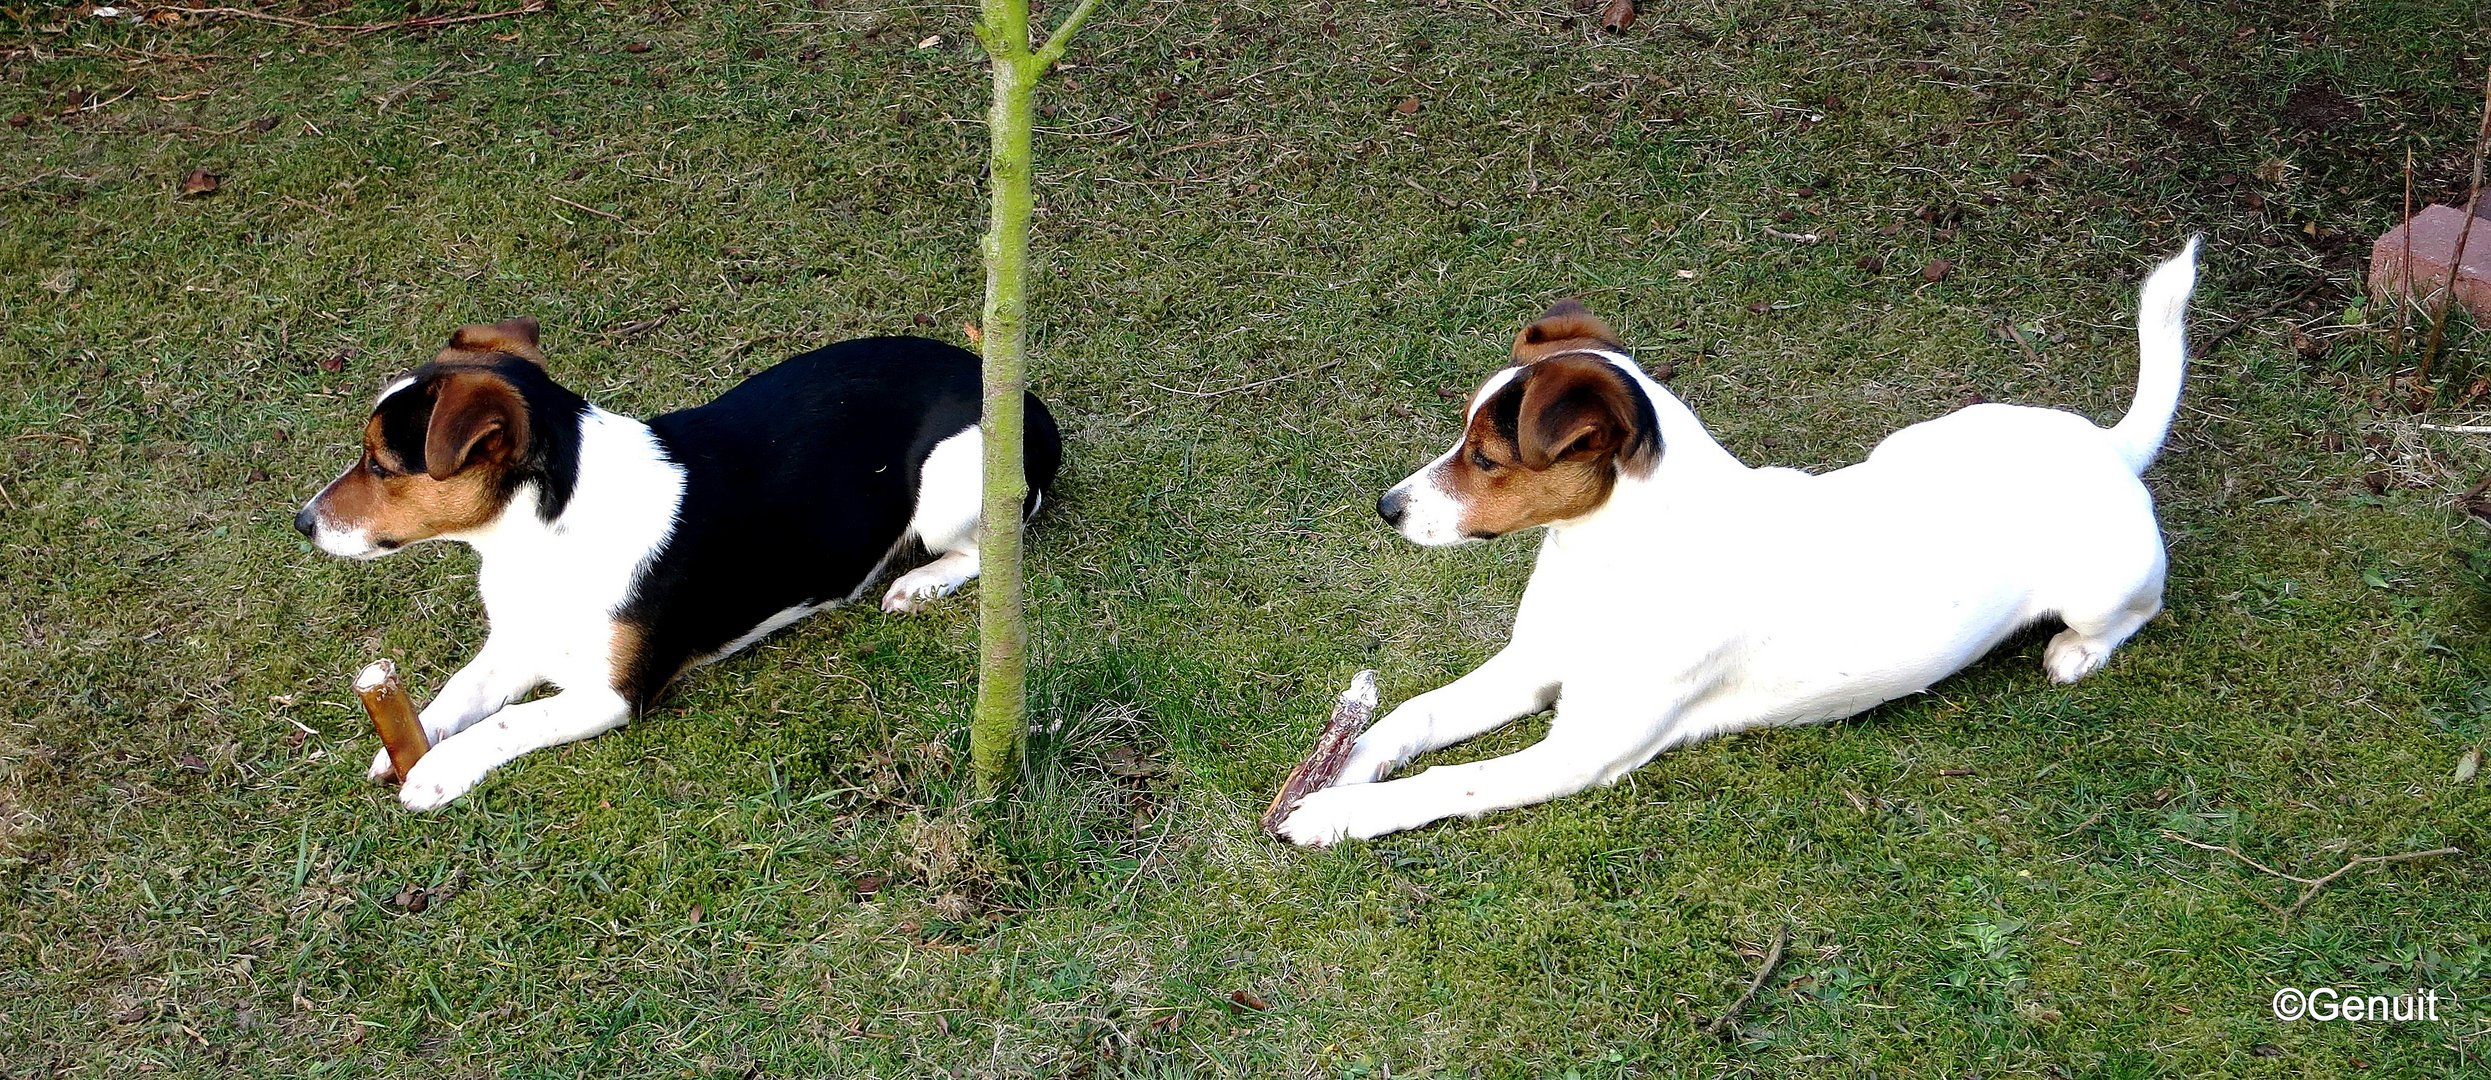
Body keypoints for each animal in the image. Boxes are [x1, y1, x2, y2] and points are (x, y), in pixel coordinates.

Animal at [301, 321, 1061, 811]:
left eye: (379, 464)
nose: (302, 522)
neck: (543, 535)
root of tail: (1026, 400)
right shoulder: (517, 645)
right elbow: (461, 693)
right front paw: (413, 739)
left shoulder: (614, 694)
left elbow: (507, 722)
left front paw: (436, 772)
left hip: (952, 486)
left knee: (988, 547)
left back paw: (918, 582)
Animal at [1285, 240, 2202, 846]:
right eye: (1462, 436)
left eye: (1484, 457)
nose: (1385, 507)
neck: (1612, 565)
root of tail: (2109, 446)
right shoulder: (1529, 665)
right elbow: (1415, 714)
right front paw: (1345, 763)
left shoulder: (1576, 752)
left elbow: (1451, 780)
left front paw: (1337, 811)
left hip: (2102, 584)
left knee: (2136, 611)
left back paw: (2076, 653)